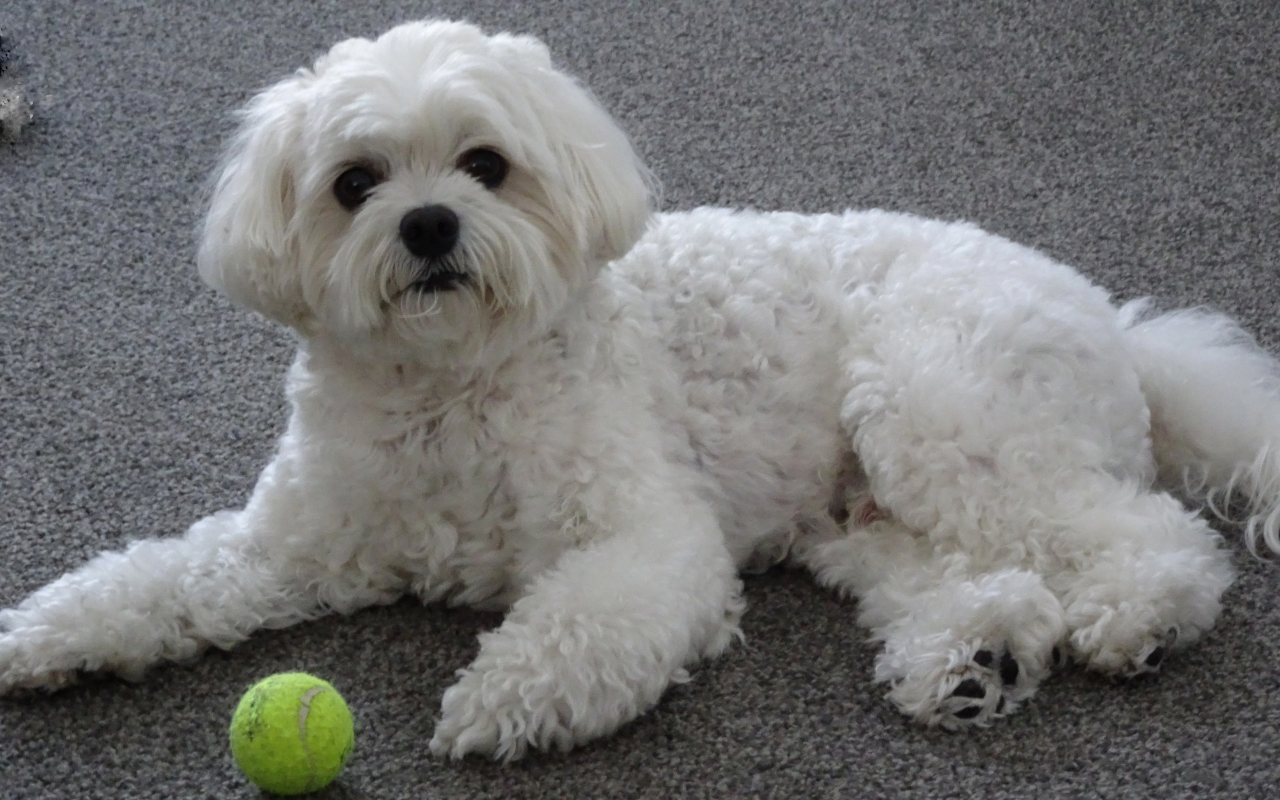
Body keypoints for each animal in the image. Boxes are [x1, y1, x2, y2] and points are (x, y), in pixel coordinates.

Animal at [2, 17, 1280, 752]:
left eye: (484, 164)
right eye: (353, 181)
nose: (425, 225)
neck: (451, 387)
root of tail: (1115, 324)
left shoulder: (646, 536)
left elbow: (588, 618)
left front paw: (508, 698)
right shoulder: (297, 546)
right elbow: (167, 576)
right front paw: (54, 633)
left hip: (941, 412)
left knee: (1146, 535)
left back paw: (1136, 615)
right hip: (861, 511)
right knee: (984, 575)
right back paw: (974, 659)